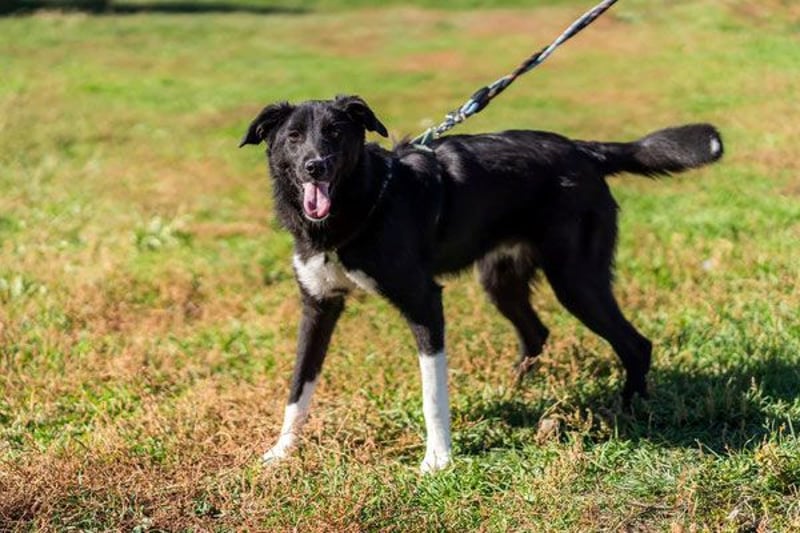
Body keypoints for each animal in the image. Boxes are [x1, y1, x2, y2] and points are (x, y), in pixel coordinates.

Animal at [240, 95, 723, 472]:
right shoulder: (318, 306)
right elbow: (298, 386)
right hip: (500, 280)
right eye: (293, 137)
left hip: (576, 281)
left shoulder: (423, 302)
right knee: (536, 331)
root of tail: (582, 150)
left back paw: (631, 411)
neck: (359, 205)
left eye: (336, 133)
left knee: (635, 343)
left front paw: (437, 460)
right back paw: (514, 388)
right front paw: (282, 452)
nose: (315, 166)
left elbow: (432, 395)